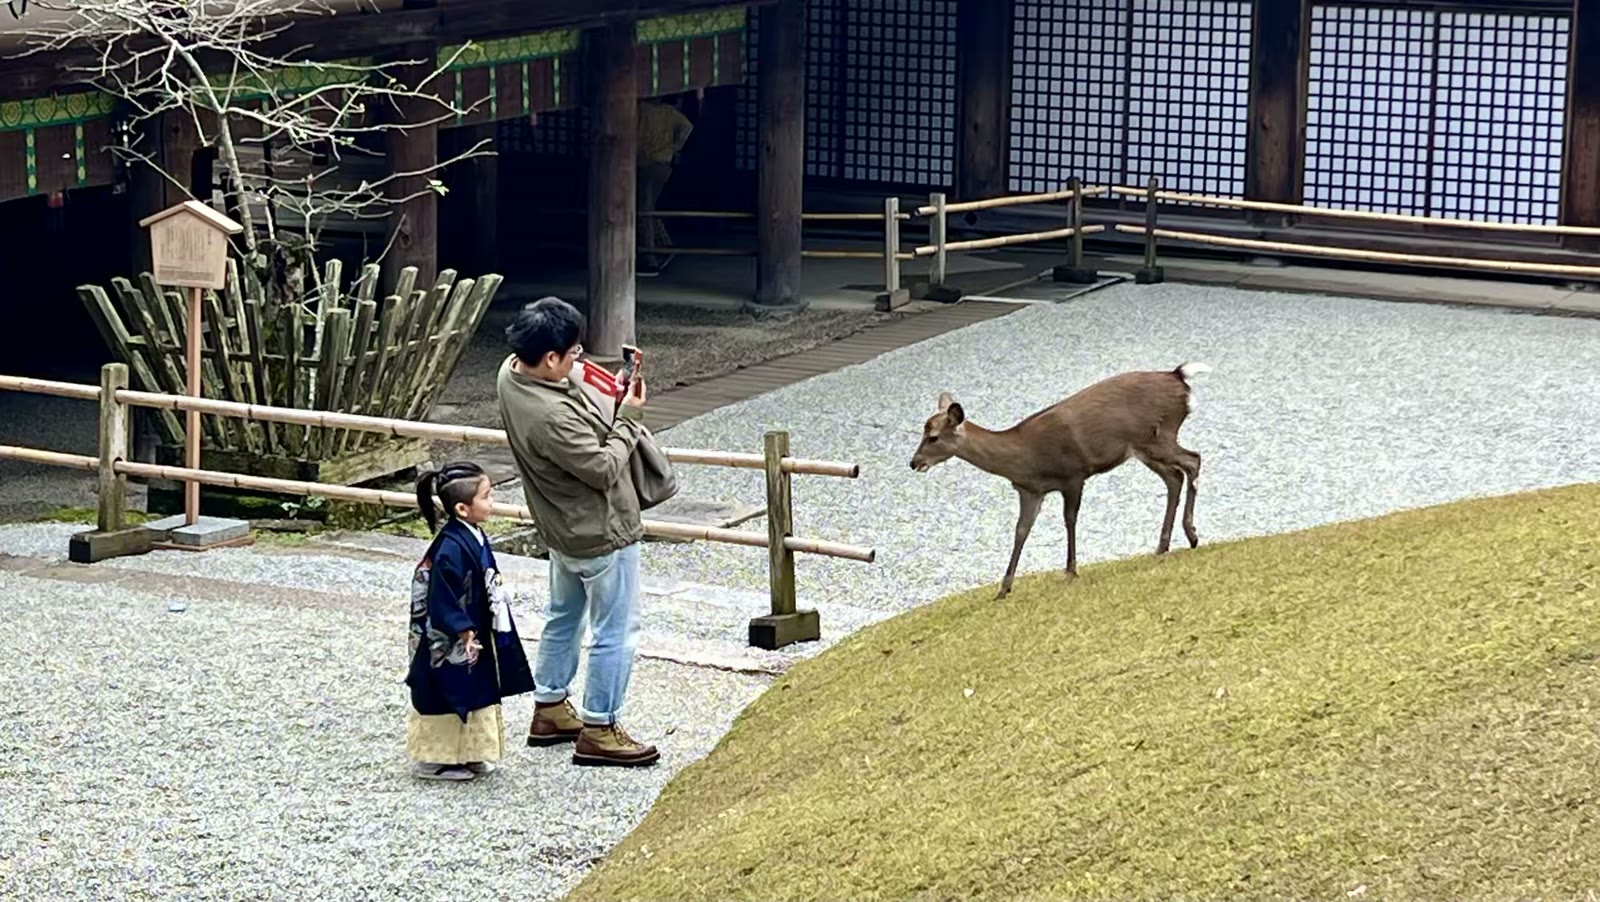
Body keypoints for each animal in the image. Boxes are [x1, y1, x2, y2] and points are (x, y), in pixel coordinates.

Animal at [909, 363, 1212, 599]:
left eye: (933, 437)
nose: (913, 462)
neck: (1025, 458)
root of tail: (1179, 377)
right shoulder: (1030, 491)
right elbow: (1020, 531)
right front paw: (1003, 589)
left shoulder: (1072, 475)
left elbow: (1069, 520)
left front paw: (1070, 570)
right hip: (1144, 448)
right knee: (1174, 477)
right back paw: (1163, 545)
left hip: (1156, 435)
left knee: (1192, 460)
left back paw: (1191, 534)